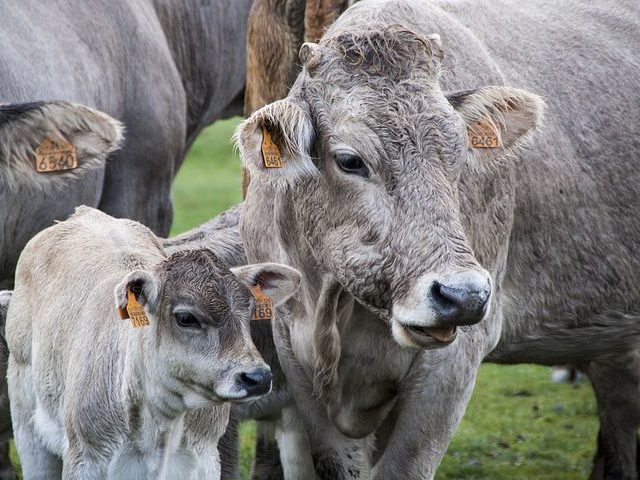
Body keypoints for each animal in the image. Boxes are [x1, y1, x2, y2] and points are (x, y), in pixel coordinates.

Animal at [5, 207, 300, 480]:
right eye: (185, 317)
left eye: (249, 310)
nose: (257, 377)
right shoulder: (85, 459)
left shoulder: (206, 458)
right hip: (27, 428)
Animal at [238, 1, 640, 478]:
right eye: (350, 160)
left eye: (459, 153)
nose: (463, 295)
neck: (336, 305)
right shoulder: (293, 350)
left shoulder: (455, 360)